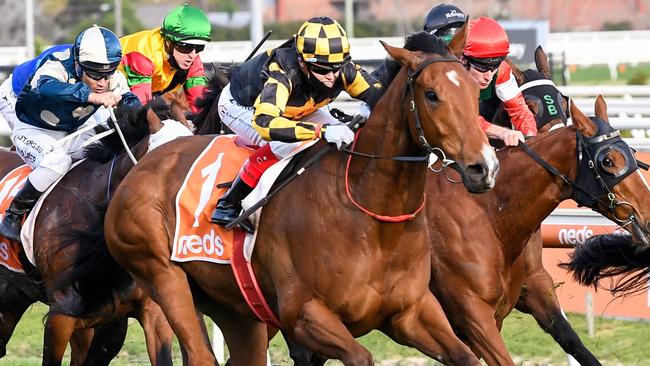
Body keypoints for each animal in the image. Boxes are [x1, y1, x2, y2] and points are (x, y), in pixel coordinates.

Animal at [98, 29, 498, 366]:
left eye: (473, 92)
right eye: (431, 96)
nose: (484, 167)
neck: (373, 217)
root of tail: (142, 165)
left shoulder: (412, 313)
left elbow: (466, 356)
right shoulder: (304, 315)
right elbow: (359, 356)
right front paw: (337, 131)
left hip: (236, 309)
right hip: (163, 277)